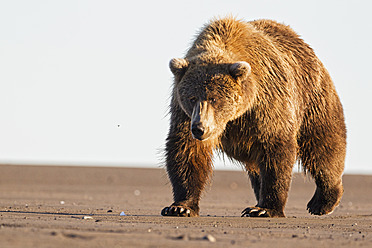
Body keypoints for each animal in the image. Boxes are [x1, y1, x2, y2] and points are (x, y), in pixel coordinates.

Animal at [161, 17, 348, 218]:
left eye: (214, 98)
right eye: (192, 98)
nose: (200, 128)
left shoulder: (267, 103)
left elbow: (276, 149)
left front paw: (265, 209)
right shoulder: (184, 113)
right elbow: (187, 149)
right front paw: (180, 206)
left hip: (312, 98)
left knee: (323, 145)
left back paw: (323, 201)